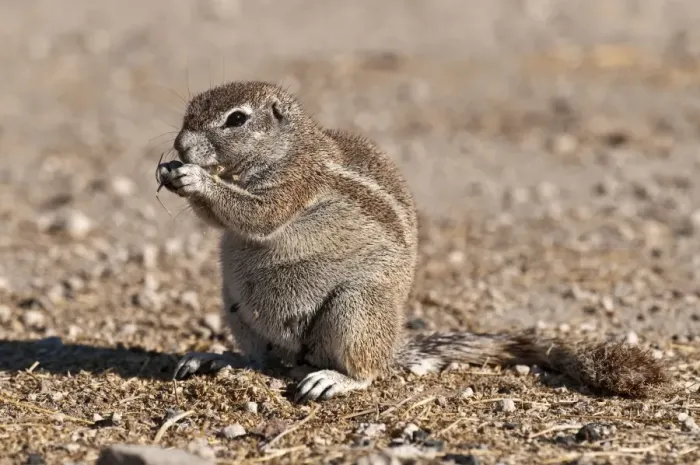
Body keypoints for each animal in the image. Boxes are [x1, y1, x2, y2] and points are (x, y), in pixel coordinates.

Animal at [156, 81, 667, 403]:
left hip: (356, 308)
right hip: (236, 307)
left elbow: (256, 215)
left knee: (367, 370)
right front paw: (173, 172)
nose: (180, 146)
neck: (287, 149)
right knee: (262, 361)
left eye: (236, 119)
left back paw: (334, 380)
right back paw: (214, 358)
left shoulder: (295, 185)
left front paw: (195, 177)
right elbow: (218, 220)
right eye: (189, 109)